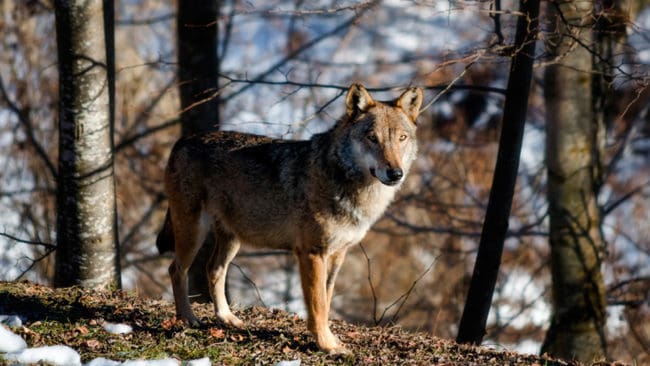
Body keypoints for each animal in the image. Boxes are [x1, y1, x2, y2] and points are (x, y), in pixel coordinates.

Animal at [156, 83, 420, 354]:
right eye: (372, 138)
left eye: (401, 138)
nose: (395, 173)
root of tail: (182, 140)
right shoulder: (312, 253)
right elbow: (318, 305)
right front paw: (326, 345)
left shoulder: (338, 254)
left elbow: (326, 300)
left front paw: (329, 340)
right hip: (193, 233)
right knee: (176, 269)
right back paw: (187, 318)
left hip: (232, 239)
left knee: (213, 270)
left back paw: (227, 318)